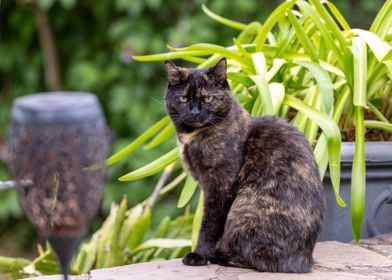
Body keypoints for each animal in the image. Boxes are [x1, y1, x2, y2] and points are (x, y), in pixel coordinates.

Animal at [164, 59, 326, 274]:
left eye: (208, 98)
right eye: (183, 98)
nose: (195, 112)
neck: (193, 137)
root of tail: (302, 261)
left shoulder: (219, 186)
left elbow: (209, 225)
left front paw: (199, 255)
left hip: (244, 208)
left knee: (259, 259)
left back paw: (220, 256)